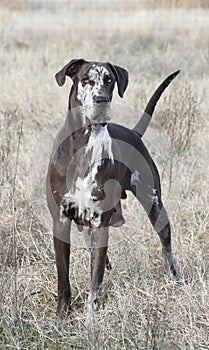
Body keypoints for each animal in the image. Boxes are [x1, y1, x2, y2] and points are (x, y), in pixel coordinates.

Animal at [46, 58, 180, 318]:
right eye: (86, 79)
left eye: (109, 79)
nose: (101, 100)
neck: (84, 145)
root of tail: (134, 132)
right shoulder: (61, 222)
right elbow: (63, 278)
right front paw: (62, 315)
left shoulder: (100, 225)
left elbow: (95, 282)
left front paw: (90, 319)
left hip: (154, 205)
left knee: (166, 246)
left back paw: (176, 279)